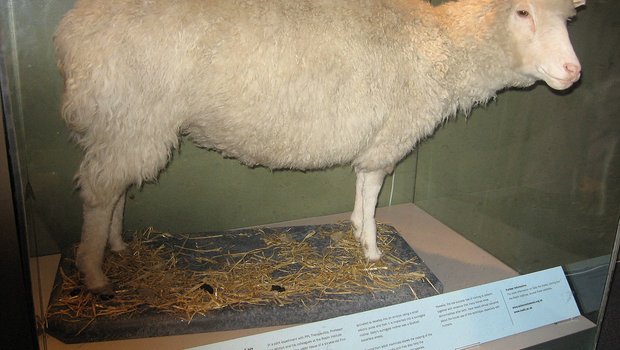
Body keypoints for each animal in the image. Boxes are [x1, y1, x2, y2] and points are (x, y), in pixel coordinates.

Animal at [54, 0, 588, 294]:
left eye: (568, 20)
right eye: (523, 12)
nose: (574, 72)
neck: (441, 48)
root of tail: (72, 30)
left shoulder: (376, 135)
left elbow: (361, 189)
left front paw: (355, 232)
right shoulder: (390, 132)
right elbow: (372, 191)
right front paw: (372, 250)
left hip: (124, 125)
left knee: (116, 189)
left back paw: (118, 247)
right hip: (130, 114)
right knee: (100, 193)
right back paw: (95, 274)